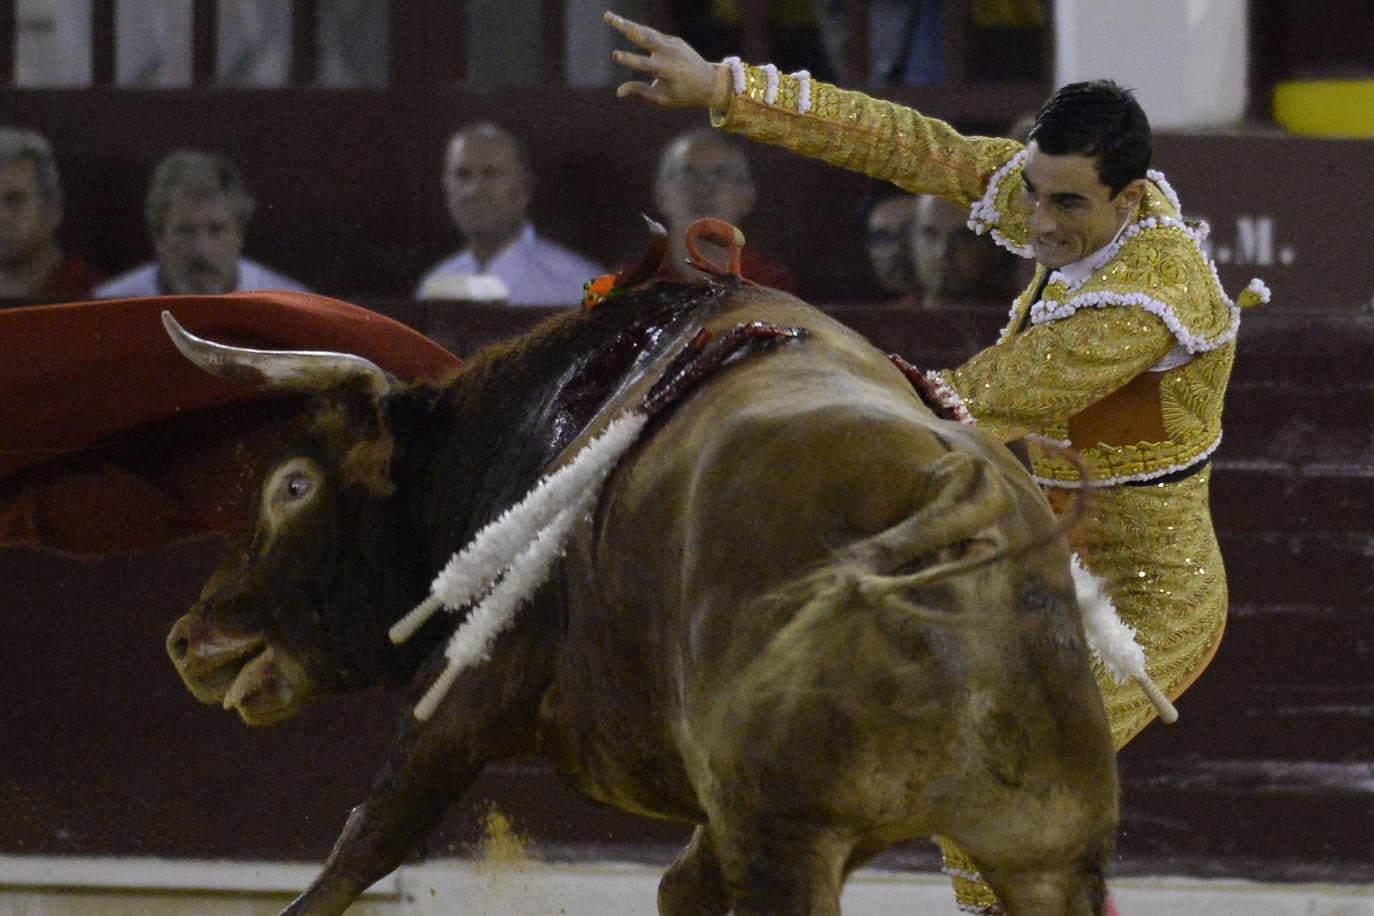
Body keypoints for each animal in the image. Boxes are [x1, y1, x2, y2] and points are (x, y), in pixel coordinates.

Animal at [163, 233, 1115, 911]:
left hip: (791, 838)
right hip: (1051, 849)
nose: (188, 639)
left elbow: (361, 844)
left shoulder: (468, 686)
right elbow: (678, 886)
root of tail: (955, 490)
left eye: (292, 485)